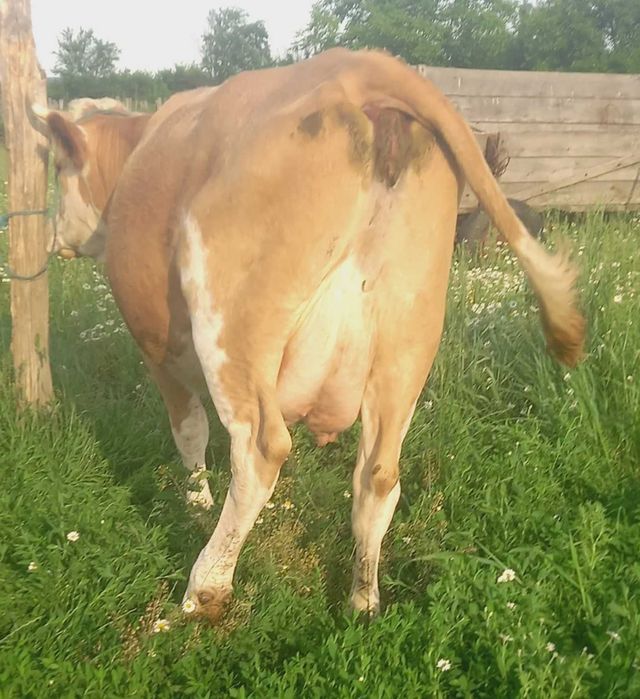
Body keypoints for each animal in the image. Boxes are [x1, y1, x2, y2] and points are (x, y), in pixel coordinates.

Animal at [32, 48, 585, 623]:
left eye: (58, 168)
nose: (53, 238)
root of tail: (356, 65)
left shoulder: (159, 349)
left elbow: (189, 431)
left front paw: (195, 502)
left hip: (235, 327)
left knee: (261, 448)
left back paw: (206, 587)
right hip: (407, 341)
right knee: (379, 474)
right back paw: (363, 600)